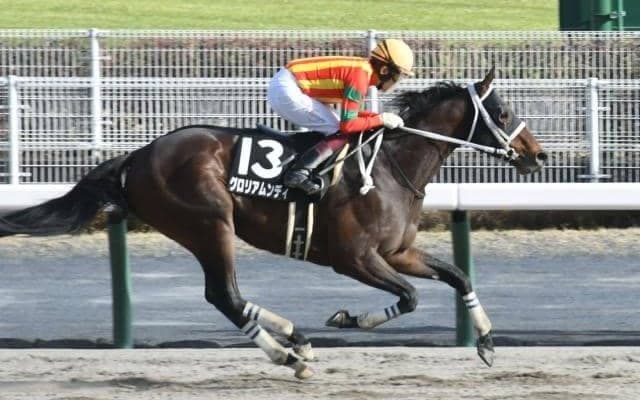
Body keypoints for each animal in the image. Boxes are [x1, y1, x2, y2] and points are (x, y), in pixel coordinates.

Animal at [0, 69, 546, 379]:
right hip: (209, 222)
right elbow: (410, 298)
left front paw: (487, 342)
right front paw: (347, 319)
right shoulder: (354, 258)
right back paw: (289, 355)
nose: (537, 156)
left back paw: (292, 336)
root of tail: (138, 156)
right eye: (502, 111)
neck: (393, 166)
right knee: (224, 295)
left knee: (229, 297)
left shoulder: (398, 252)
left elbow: (458, 276)